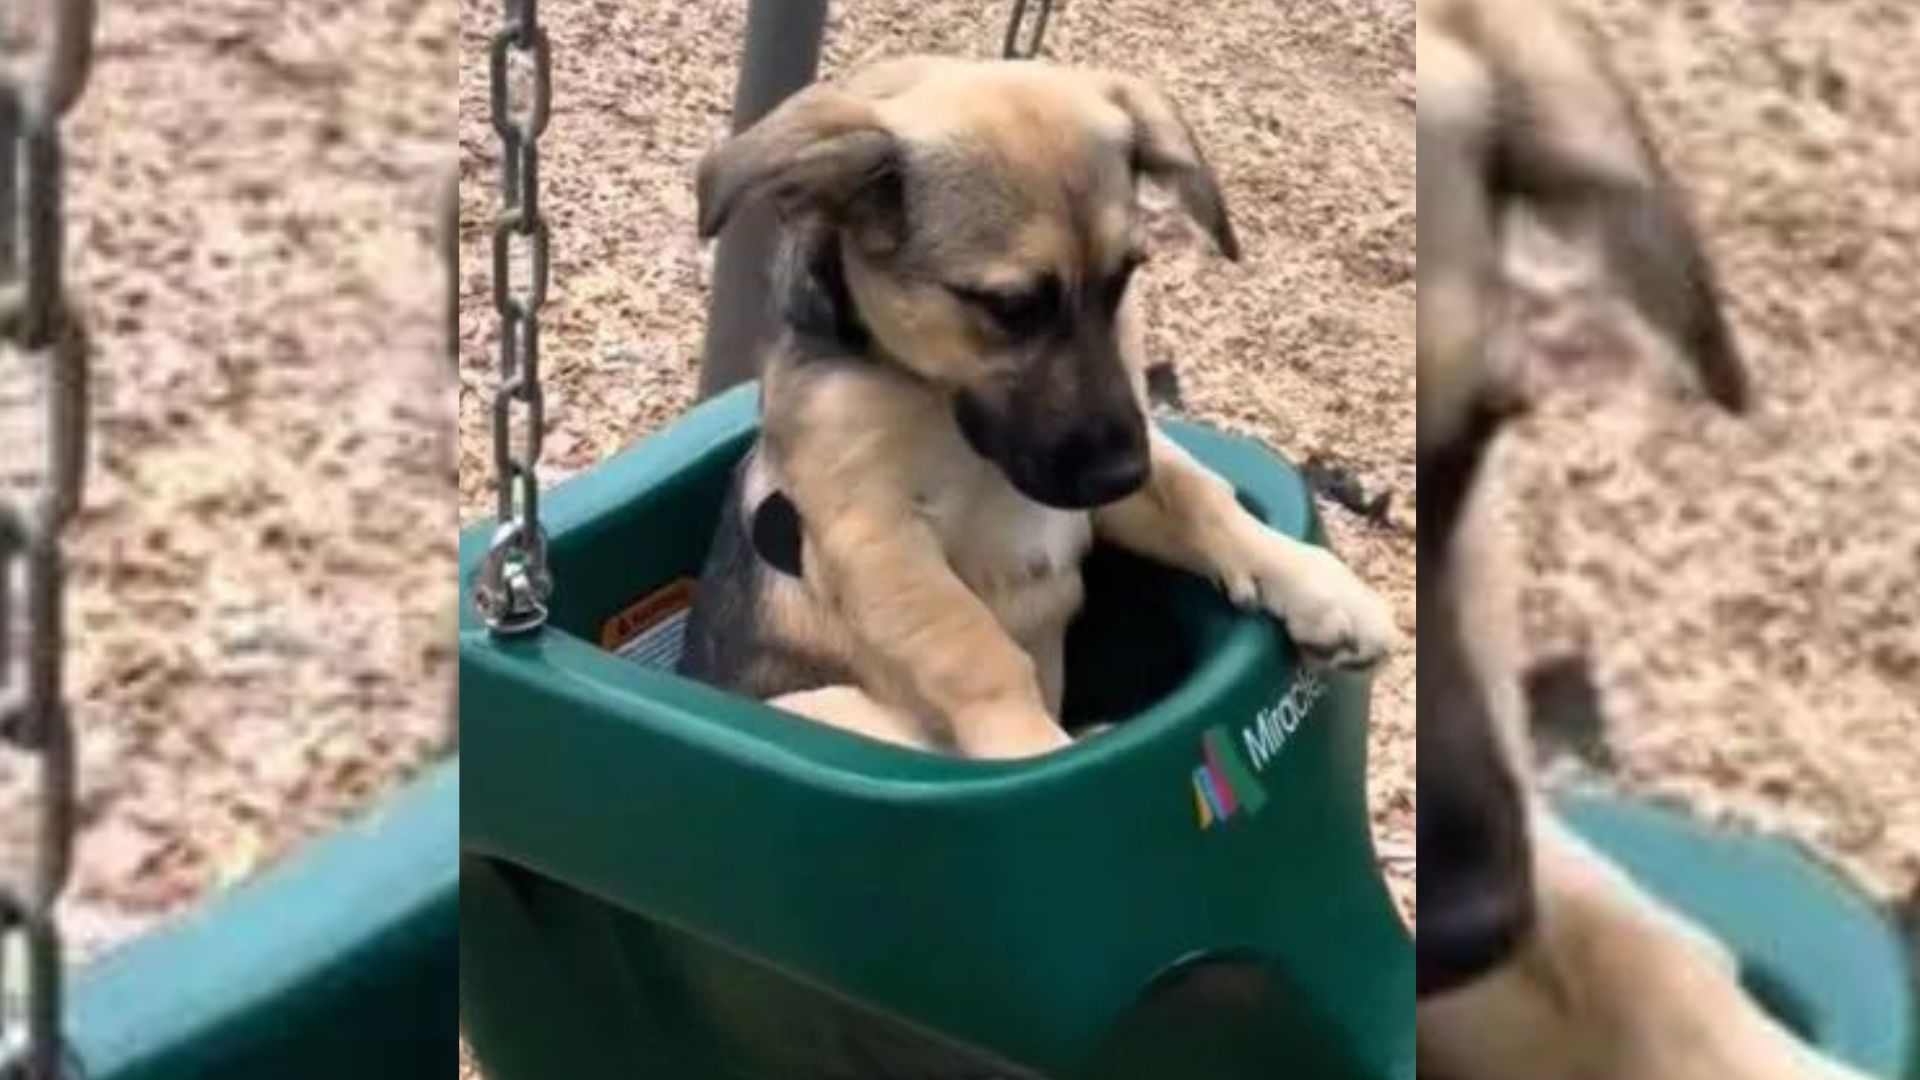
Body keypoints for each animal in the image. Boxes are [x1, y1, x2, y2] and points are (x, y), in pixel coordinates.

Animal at [683, 56, 1405, 757]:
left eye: (1125, 277)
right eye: (1011, 308)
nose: (1122, 474)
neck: (932, 400)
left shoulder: (1092, 487)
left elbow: (1200, 498)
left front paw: (1315, 583)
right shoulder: (873, 532)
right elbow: (970, 643)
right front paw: (1027, 741)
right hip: (820, 702)